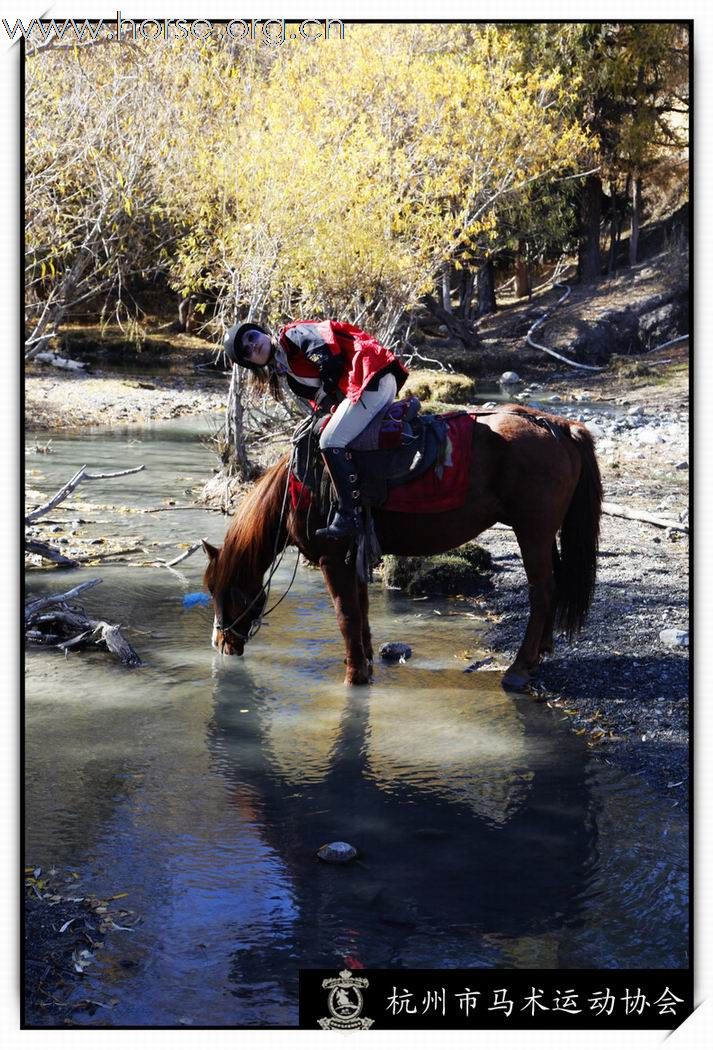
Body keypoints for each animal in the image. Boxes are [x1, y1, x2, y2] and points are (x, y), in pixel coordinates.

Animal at [200, 405, 600, 692]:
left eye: (226, 591)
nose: (220, 644)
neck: (301, 486)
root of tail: (558, 426)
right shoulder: (352, 558)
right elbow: (360, 611)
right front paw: (365, 663)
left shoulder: (333, 559)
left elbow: (345, 616)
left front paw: (354, 678)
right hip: (544, 534)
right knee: (552, 586)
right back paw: (539, 653)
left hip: (531, 532)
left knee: (541, 591)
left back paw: (518, 669)